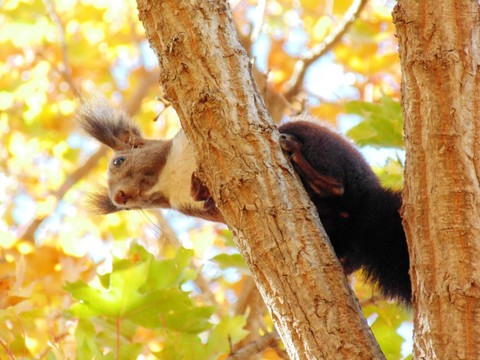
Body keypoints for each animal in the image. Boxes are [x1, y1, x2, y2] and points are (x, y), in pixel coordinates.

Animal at [77, 97, 410, 304]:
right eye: (127, 207)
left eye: (118, 161)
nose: (119, 198)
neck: (168, 178)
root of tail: (366, 208)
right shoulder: (197, 209)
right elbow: (208, 204)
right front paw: (200, 188)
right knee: (349, 253)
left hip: (320, 143)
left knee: (337, 185)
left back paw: (303, 163)